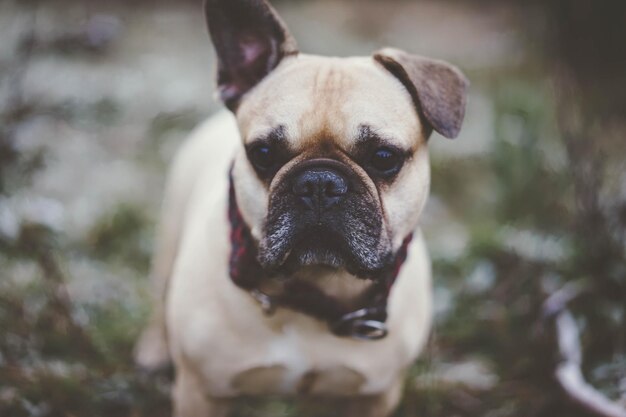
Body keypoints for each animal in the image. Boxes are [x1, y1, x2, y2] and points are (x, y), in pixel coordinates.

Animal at [135, 1, 468, 414]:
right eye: (263, 153)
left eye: (384, 157)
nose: (319, 183)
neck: (313, 291)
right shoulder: (201, 393)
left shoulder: (375, 396)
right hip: (169, 237)